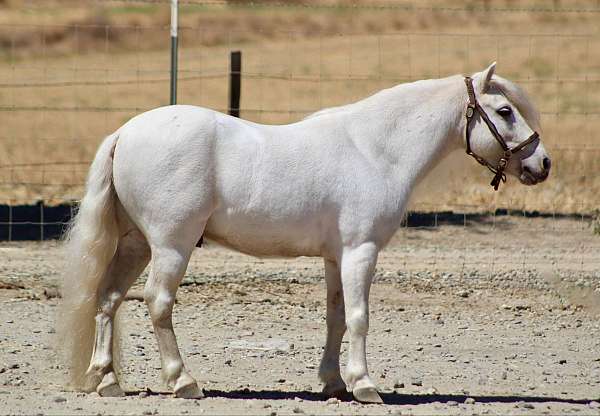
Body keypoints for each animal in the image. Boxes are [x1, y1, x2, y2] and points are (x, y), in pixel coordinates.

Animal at [59, 63, 548, 404]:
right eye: (504, 111)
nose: (542, 164)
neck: (374, 150)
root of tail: (126, 131)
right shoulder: (361, 251)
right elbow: (359, 317)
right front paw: (365, 385)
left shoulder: (336, 256)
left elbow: (336, 317)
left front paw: (333, 383)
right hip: (171, 246)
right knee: (158, 303)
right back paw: (184, 382)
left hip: (136, 245)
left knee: (108, 299)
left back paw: (107, 380)